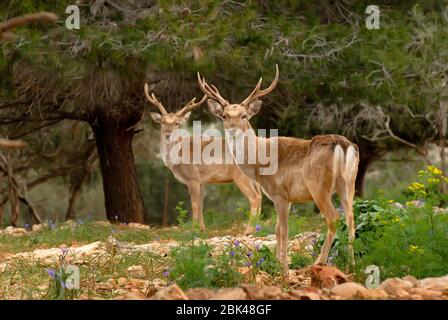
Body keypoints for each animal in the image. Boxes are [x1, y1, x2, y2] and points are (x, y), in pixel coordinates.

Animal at [144, 84, 262, 232]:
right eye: (162, 122)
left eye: (177, 123)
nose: (168, 134)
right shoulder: (203, 181)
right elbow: (200, 204)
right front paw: (201, 229)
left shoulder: (193, 178)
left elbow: (194, 204)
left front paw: (192, 230)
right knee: (261, 197)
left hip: (241, 176)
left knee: (255, 198)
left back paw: (248, 231)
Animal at [198, 65, 358, 270]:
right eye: (224, 116)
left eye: (244, 115)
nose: (232, 129)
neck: (258, 164)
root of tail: (343, 145)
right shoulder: (286, 198)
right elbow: (277, 229)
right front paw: (278, 262)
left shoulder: (279, 194)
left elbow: (283, 229)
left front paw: (283, 266)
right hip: (348, 183)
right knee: (351, 218)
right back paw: (351, 264)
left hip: (319, 186)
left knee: (334, 218)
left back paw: (319, 261)